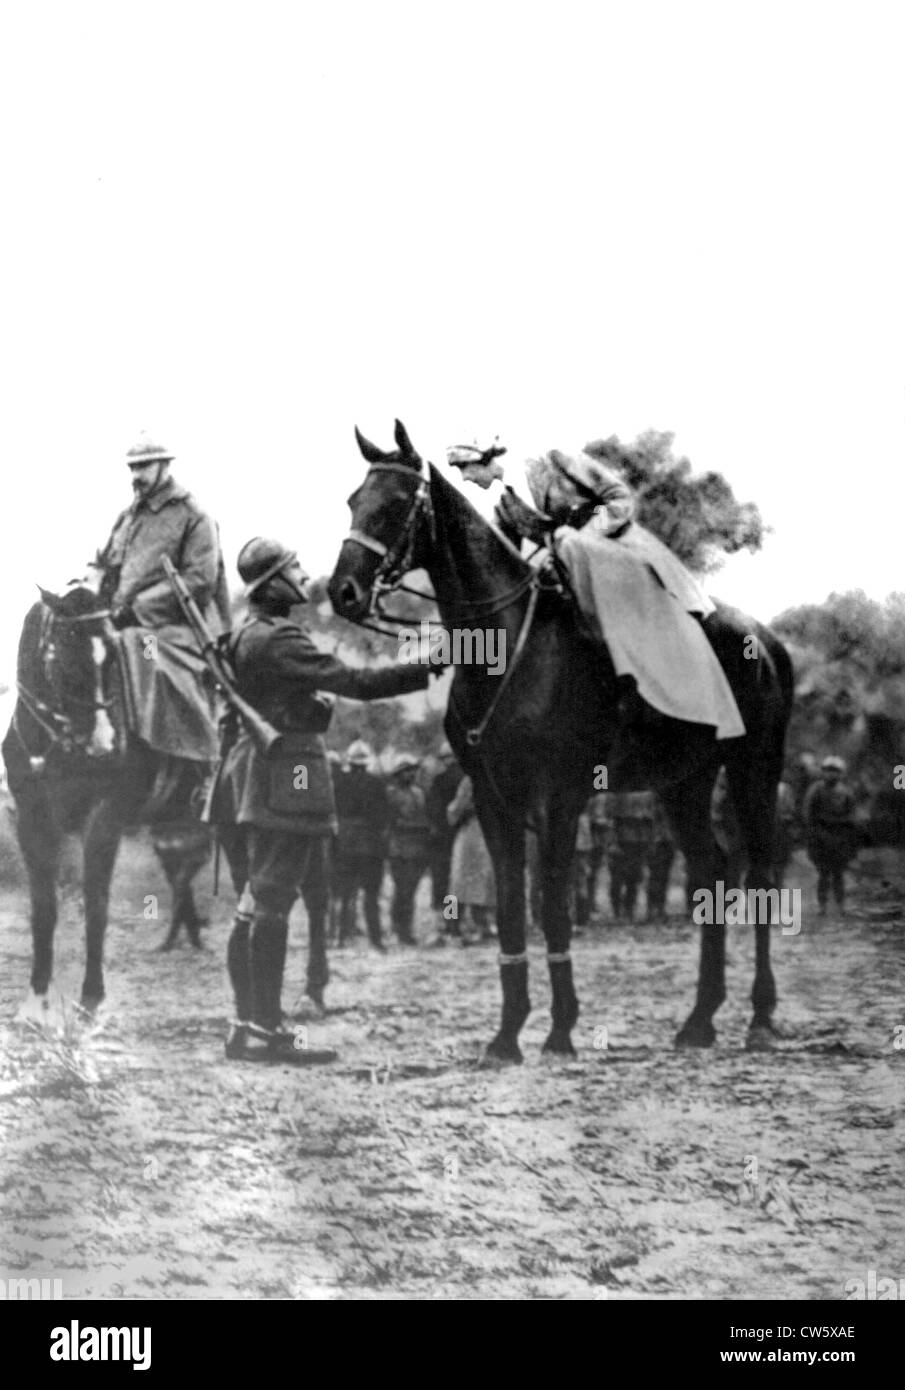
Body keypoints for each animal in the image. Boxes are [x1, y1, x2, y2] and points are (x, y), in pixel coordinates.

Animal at [2, 581, 214, 1017]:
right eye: (66, 652)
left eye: (114, 656)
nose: (104, 746)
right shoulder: (31, 819)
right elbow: (43, 908)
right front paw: (36, 999)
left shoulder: (104, 818)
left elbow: (96, 905)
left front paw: (92, 997)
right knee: (184, 878)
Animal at [330, 417, 795, 1056]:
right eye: (355, 500)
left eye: (398, 502)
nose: (343, 592)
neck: (508, 646)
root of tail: (767, 640)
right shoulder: (492, 796)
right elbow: (509, 905)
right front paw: (507, 1034)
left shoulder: (560, 796)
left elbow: (552, 905)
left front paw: (559, 1029)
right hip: (685, 782)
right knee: (711, 872)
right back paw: (700, 1020)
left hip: (755, 769)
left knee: (761, 876)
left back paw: (760, 1016)